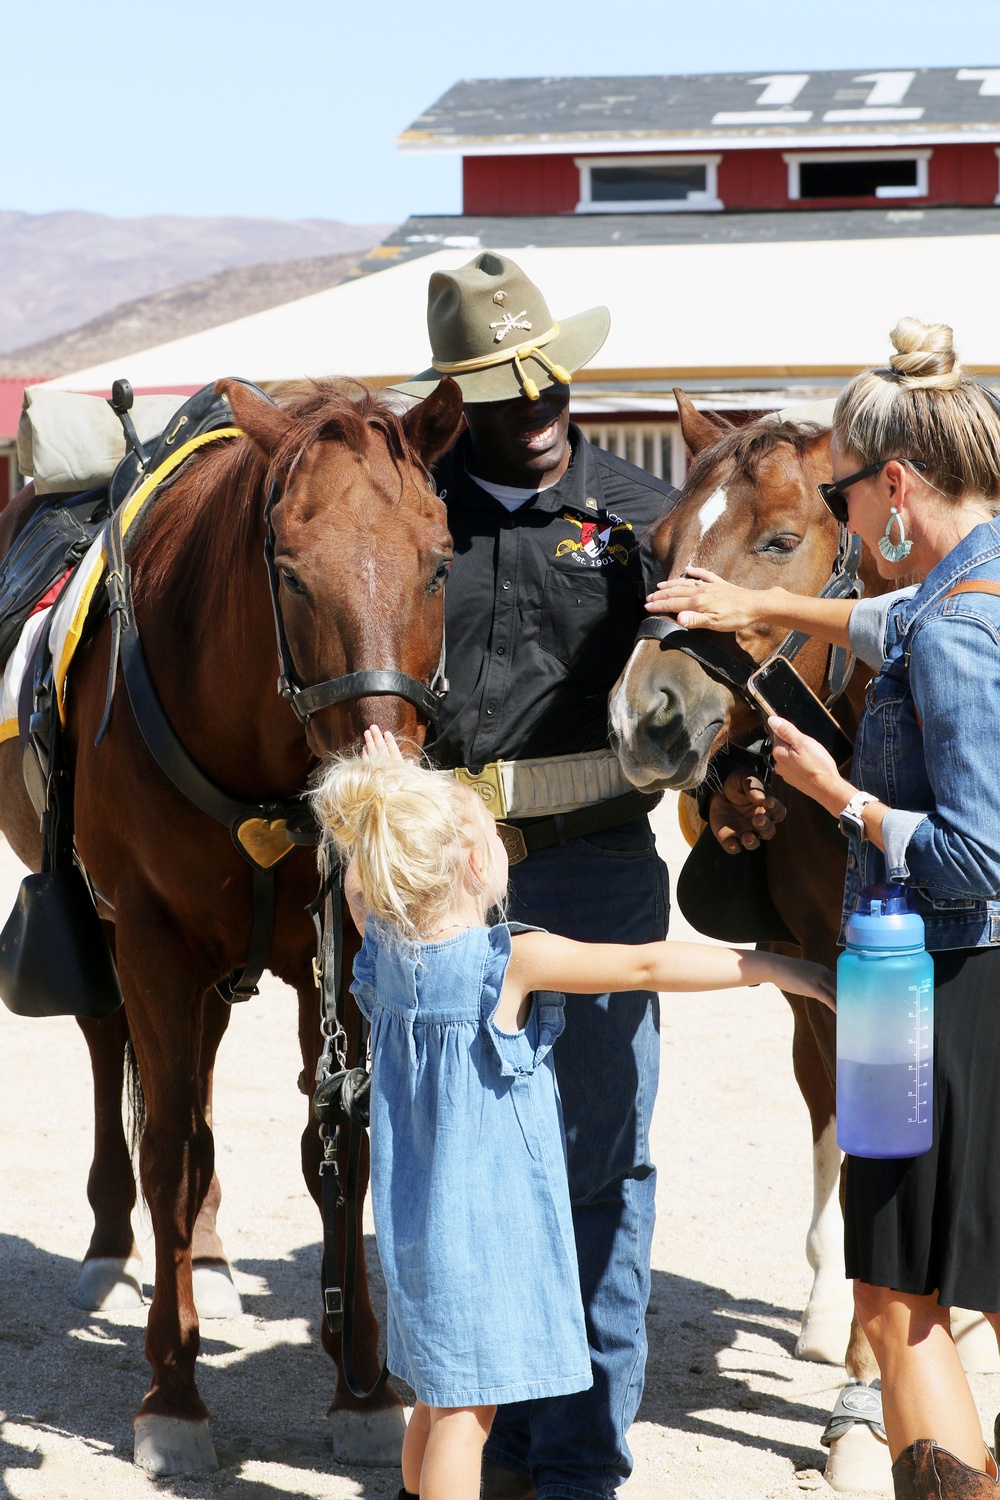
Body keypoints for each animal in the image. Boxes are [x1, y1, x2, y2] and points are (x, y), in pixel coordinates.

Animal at [0, 375, 464, 1476]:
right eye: (288, 575)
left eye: (438, 562)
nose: (379, 788)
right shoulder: (148, 939)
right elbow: (166, 1146)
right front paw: (172, 1393)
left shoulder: (334, 950)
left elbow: (344, 1141)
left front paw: (362, 1384)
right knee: (122, 1068)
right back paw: (112, 1246)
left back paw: (205, 1253)